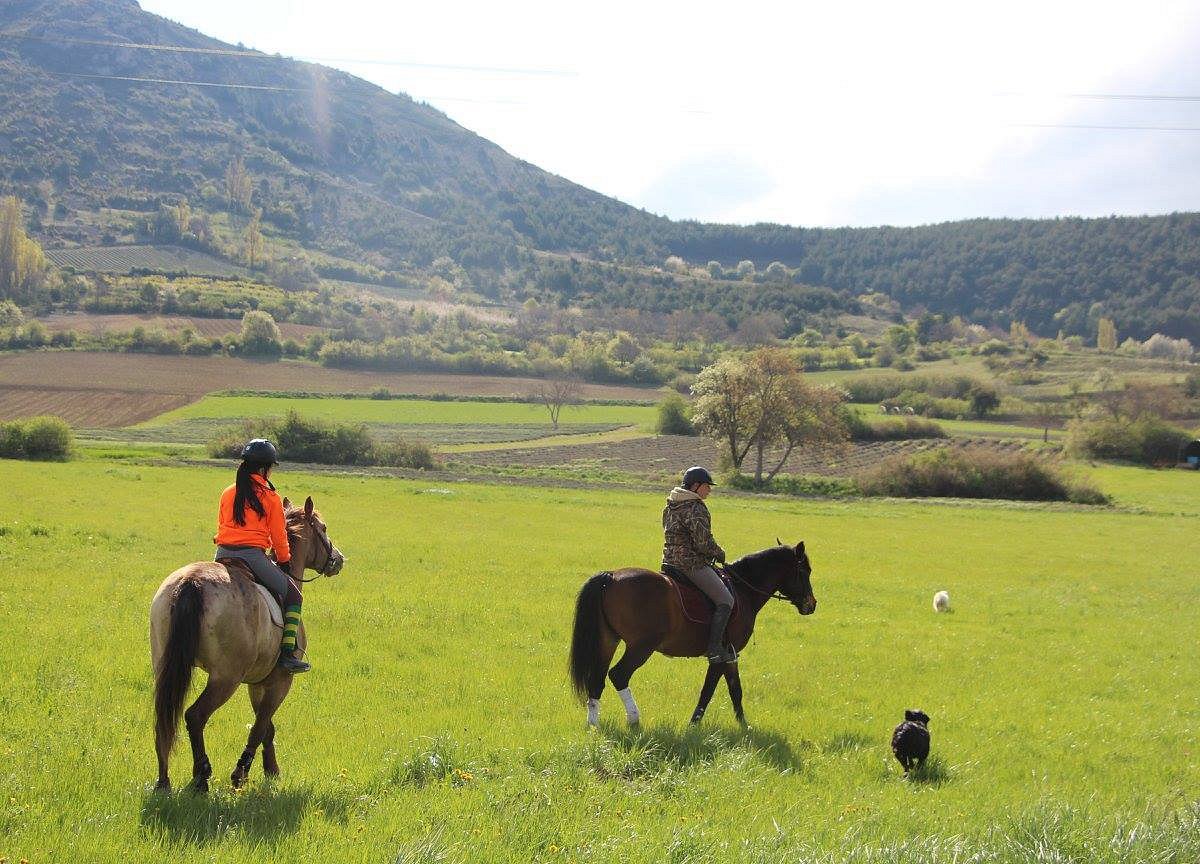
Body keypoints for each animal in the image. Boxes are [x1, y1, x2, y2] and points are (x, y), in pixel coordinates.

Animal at [150, 496, 345, 792]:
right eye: (323, 527)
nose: (339, 559)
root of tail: (191, 582)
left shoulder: (258, 681)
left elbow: (267, 727)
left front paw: (271, 769)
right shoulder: (280, 681)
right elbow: (261, 725)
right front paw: (242, 771)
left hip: (166, 665)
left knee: (164, 718)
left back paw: (164, 781)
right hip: (225, 678)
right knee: (195, 716)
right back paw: (201, 775)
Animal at [564, 542, 811, 724]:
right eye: (805, 571)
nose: (812, 604)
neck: (743, 590)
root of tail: (612, 577)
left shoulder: (731, 655)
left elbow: (735, 690)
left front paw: (744, 726)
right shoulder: (721, 654)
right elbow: (709, 691)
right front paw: (694, 724)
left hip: (608, 641)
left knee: (597, 679)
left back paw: (593, 724)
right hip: (641, 647)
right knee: (618, 674)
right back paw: (634, 719)